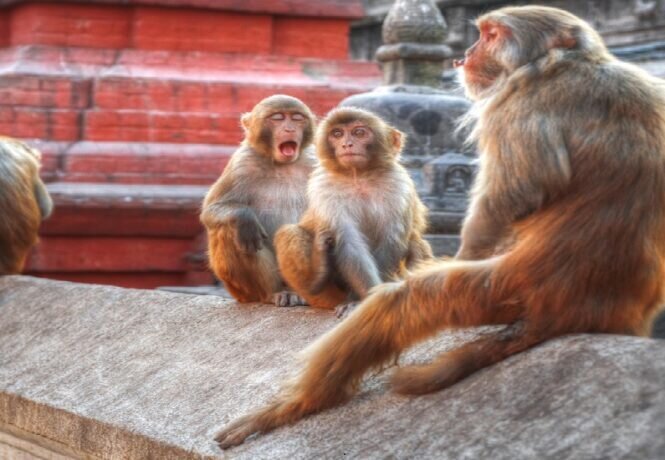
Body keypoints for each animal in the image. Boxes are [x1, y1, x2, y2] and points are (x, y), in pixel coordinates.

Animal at [200, 95, 316, 308]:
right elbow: (212, 210)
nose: (290, 129)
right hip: (240, 290)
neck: (282, 164)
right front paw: (243, 217)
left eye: (297, 118)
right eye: (278, 118)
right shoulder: (242, 164)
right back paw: (273, 293)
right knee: (230, 230)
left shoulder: (315, 163)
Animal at [274, 105, 434, 310]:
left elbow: (390, 240)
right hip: (327, 296)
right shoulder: (325, 188)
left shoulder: (398, 185)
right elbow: (349, 242)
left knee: (417, 242)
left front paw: (371, 300)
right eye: (337, 134)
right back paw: (317, 277)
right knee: (289, 232)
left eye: (359, 132)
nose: (347, 144)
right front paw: (365, 299)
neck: (359, 176)